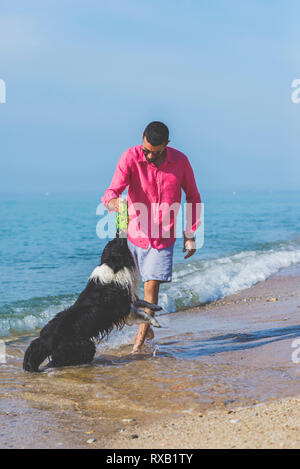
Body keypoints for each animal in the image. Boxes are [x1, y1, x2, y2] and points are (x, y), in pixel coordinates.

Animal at [22, 238, 162, 372]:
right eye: (117, 242)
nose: (119, 233)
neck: (112, 266)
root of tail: (46, 338)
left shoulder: (128, 303)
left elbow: (142, 302)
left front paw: (156, 307)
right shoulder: (123, 310)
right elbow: (143, 312)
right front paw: (155, 322)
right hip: (84, 345)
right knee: (59, 361)